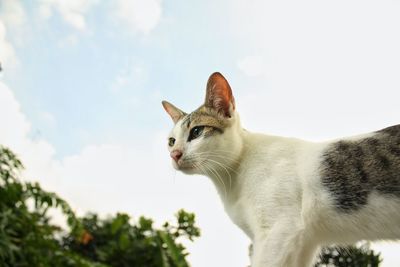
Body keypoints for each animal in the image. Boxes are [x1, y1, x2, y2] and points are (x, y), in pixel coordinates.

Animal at [160, 72, 400, 266]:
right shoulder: (304, 244)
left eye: (196, 132)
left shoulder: (278, 232)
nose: (174, 154)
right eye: (171, 141)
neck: (231, 178)